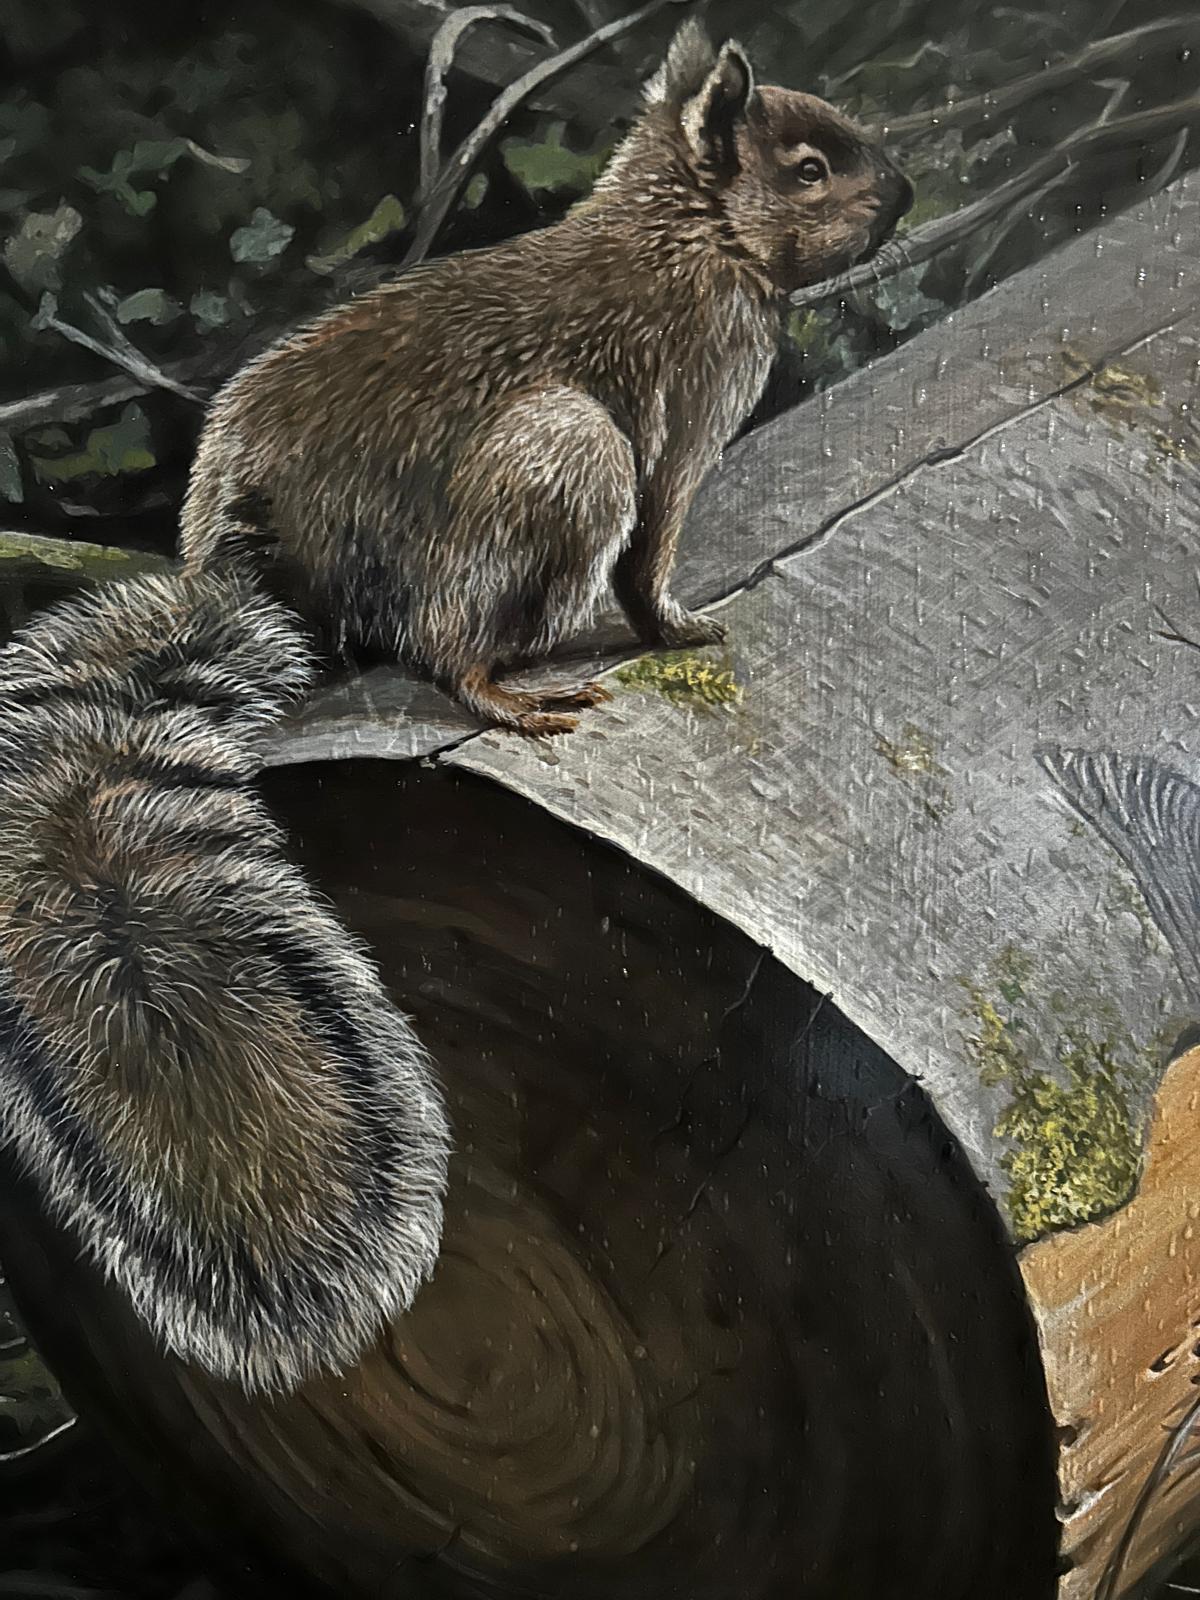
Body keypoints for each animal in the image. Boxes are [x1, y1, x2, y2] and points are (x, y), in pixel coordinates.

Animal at [0, 21, 909, 1395]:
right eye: (808, 168)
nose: (903, 196)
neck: (685, 237)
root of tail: (256, 561)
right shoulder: (680, 413)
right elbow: (653, 558)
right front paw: (683, 625)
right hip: (561, 454)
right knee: (444, 645)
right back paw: (515, 686)